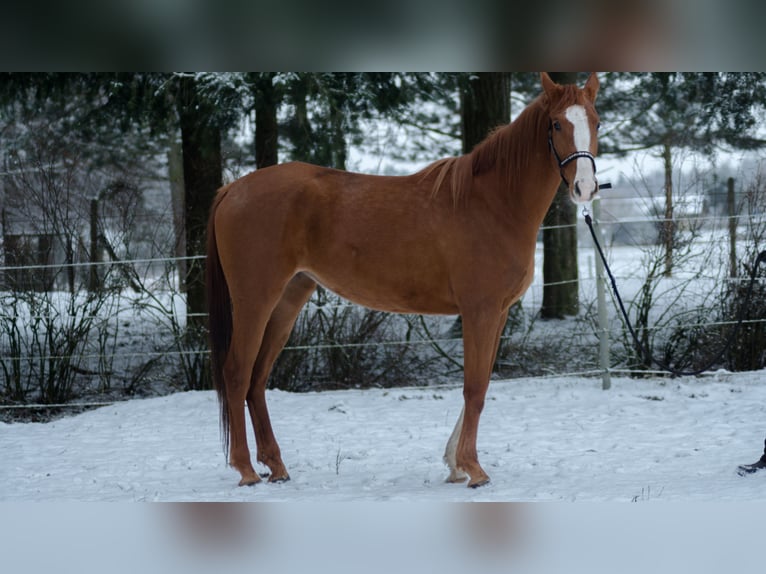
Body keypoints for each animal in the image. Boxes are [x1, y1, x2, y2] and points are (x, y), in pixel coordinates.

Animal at [207, 71, 604, 486]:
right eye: (556, 124)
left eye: (596, 123)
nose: (585, 188)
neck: (493, 203)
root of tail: (232, 189)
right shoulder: (479, 311)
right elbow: (474, 388)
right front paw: (472, 468)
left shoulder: (498, 314)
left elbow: (481, 385)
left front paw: (455, 463)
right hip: (254, 300)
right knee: (237, 372)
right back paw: (246, 469)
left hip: (288, 298)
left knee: (257, 378)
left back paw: (276, 466)